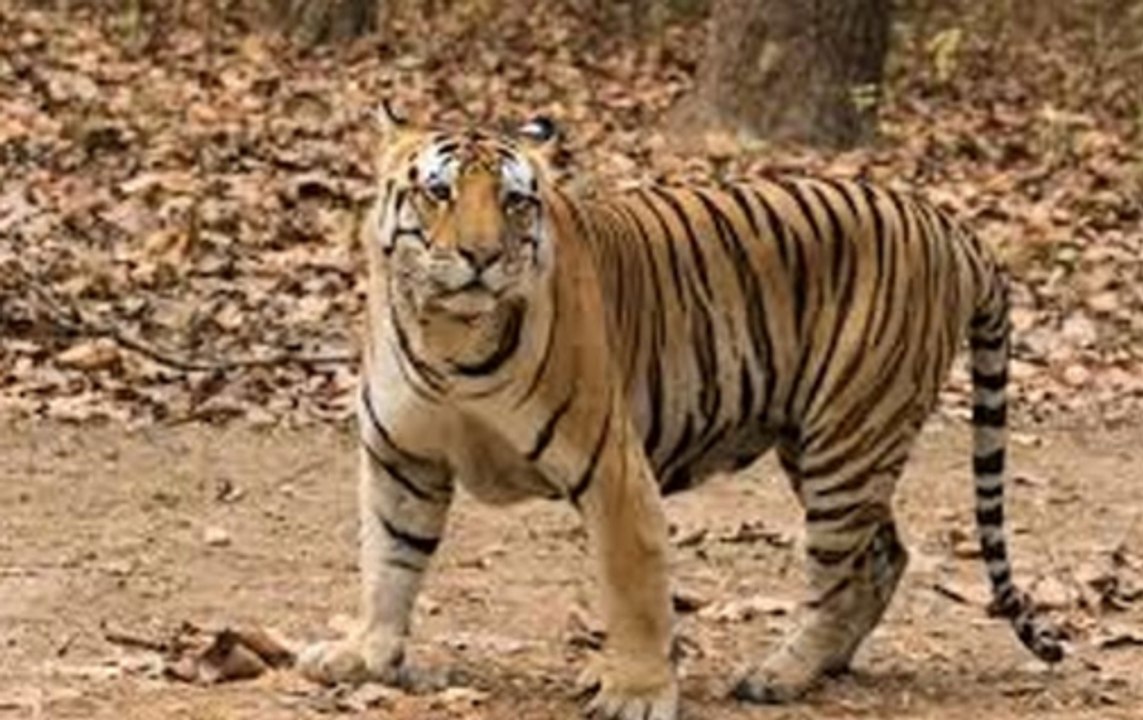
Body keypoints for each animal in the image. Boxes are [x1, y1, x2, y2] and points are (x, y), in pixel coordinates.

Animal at [297, 104, 1063, 719]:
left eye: (514, 201)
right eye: (439, 192)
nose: (480, 256)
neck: (446, 338)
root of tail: (949, 223)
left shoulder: (611, 467)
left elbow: (633, 587)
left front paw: (636, 694)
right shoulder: (403, 460)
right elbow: (389, 563)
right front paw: (365, 655)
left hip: (848, 440)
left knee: (838, 571)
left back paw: (780, 674)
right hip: (822, 442)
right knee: (883, 555)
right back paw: (827, 665)